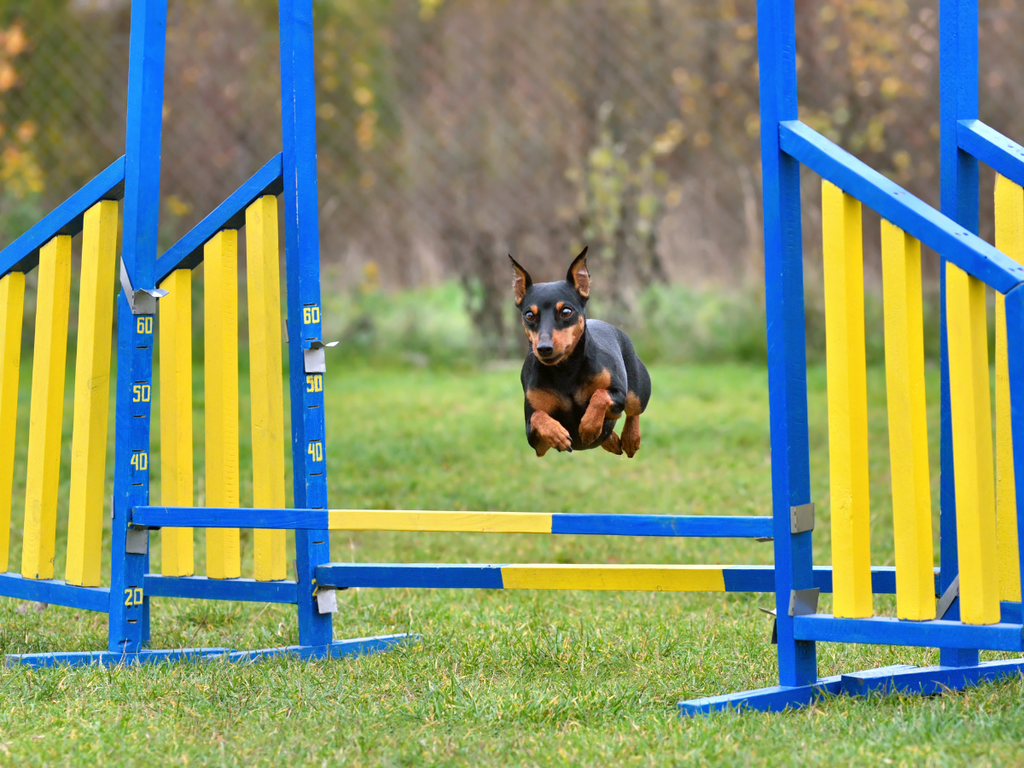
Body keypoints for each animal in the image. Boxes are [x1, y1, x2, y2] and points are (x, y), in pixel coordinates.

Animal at [509, 249, 647, 460]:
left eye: (566, 311)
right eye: (529, 315)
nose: (544, 348)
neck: (565, 370)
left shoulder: (618, 396)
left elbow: (600, 395)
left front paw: (589, 426)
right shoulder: (536, 441)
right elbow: (538, 415)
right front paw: (557, 434)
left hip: (637, 390)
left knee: (634, 410)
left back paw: (630, 439)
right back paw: (611, 441)